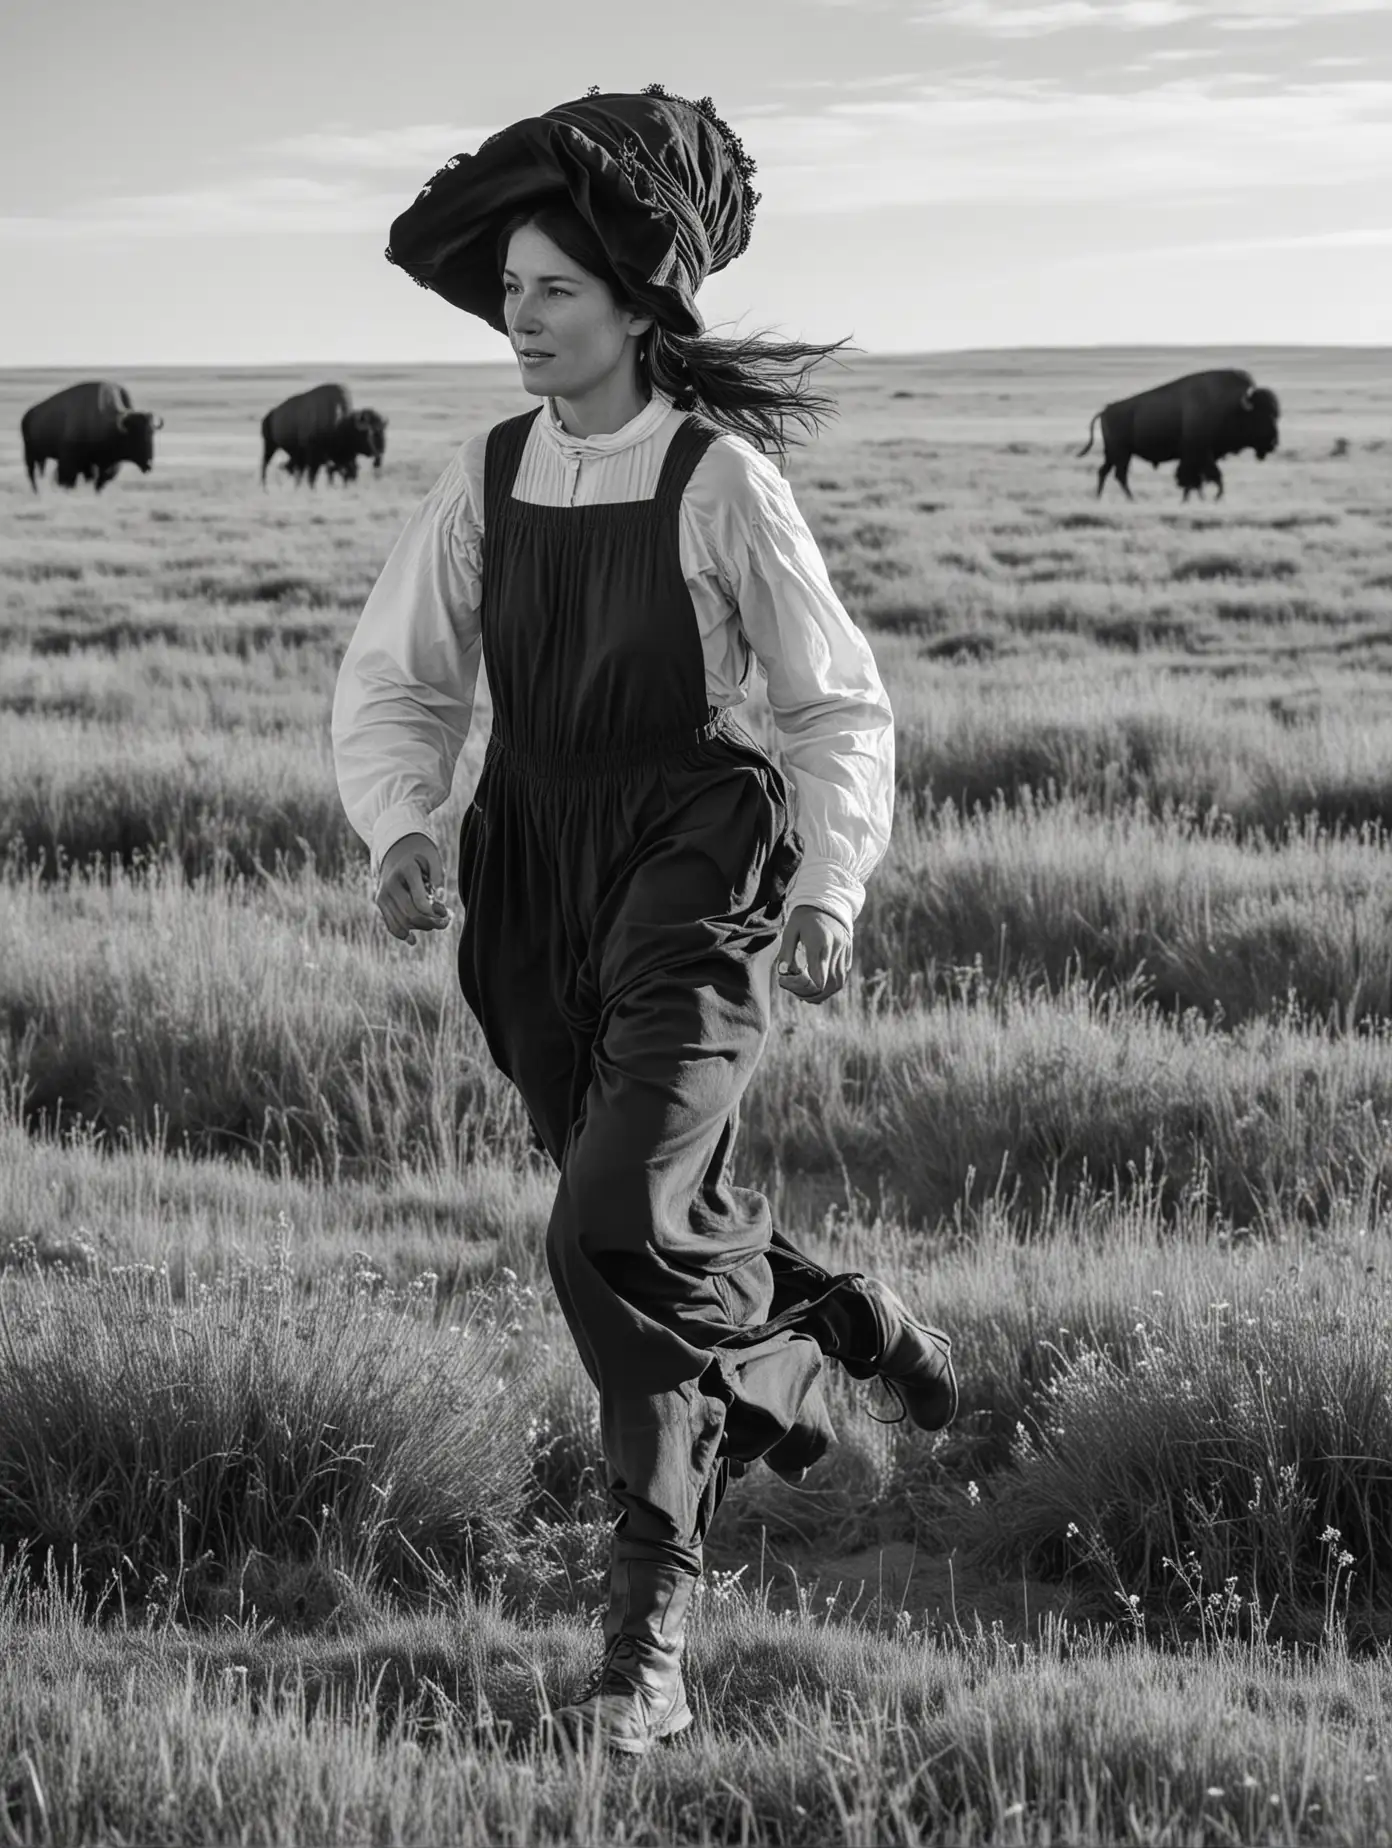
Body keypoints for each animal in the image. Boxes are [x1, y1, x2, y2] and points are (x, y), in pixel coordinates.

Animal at [21, 380, 163, 491]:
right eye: (134, 436)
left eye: (151, 433)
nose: (149, 464)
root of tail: (27, 415)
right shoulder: (71, 462)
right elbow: (68, 479)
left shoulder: (104, 466)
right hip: (30, 454)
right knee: (32, 475)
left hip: (40, 457)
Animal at [260, 382, 388, 487]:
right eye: (369, 432)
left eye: (383, 430)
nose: (380, 451)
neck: (340, 425)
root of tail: (270, 414)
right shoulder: (314, 458)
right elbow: (313, 476)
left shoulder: (342, 459)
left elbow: (340, 472)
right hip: (269, 445)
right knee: (266, 465)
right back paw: (264, 487)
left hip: (292, 453)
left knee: (291, 468)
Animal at [1072, 369, 1279, 502]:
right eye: (1261, 415)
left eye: (1275, 414)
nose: (1273, 443)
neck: (1232, 406)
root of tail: (1106, 409)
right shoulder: (1201, 453)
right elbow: (1209, 475)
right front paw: (1215, 497)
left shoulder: (1196, 457)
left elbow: (1196, 478)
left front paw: (1197, 498)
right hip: (1121, 453)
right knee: (1119, 475)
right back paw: (1132, 499)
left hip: (1114, 453)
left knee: (1104, 472)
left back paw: (1100, 497)